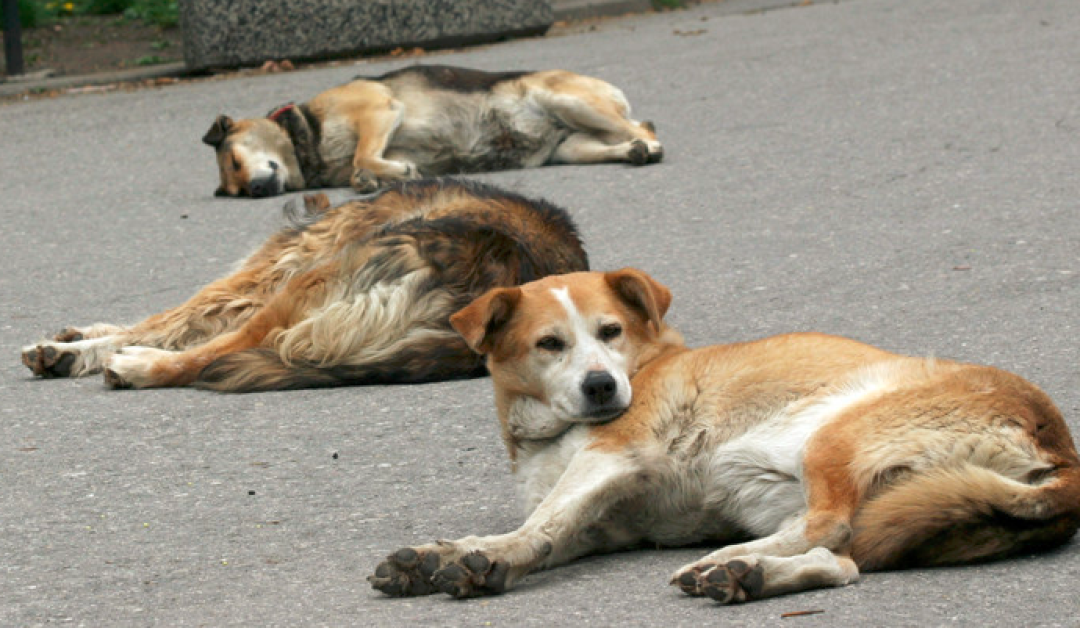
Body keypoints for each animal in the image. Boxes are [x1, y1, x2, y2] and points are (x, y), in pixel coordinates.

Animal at [19, 178, 591, 389]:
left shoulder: (263, 277)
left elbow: (170, 320)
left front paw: (76, 347)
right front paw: (73, 342)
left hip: (312, 281)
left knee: (225, 348)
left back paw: (137, 368)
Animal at [198, 64, 660, 196]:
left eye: (234, 160)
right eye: (237, 186)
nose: (257, 190)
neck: (306, 136)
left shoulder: (380, 110)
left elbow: (363, 155)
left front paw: (386, 173)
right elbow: (362, 166)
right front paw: (373, 178)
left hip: (566, 100)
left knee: (644, 126)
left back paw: (650, 146)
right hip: (572, 145)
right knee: (623, 139)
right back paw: (633, 151)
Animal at [369, 269, 1080, 600]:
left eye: (609, 332)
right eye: (550, 344)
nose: (602, 387)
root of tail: (1063, 452)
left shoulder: (612, 455)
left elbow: (538, 526)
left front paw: (483, 555)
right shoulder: (604, 524)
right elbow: (546, 532)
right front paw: (450, 554)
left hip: (835, 434)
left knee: (828, 526)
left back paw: (729, 560)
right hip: (900, 503)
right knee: (842, 560)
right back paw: (751, 575)